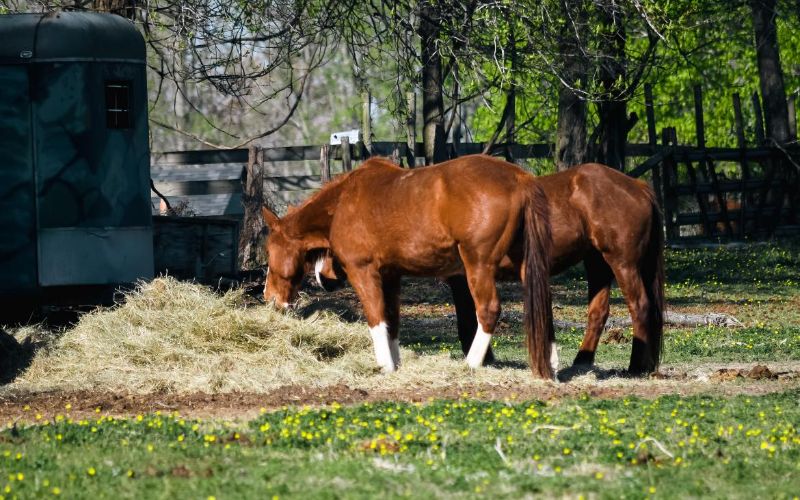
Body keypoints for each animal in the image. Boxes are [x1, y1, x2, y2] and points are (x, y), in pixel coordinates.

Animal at [262, 156, 556, 378]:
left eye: (268, 251)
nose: (269, 297)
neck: (343, 201)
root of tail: (520, 178)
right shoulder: (391, 275)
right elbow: (392, 319)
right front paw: (395, 363)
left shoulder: (364, 273)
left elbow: (376, 317)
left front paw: (384, 366)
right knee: (542, 305)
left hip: (478, 265)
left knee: (488, 310)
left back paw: (470, 364)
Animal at [306, 160, 664, 376]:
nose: (323, 278)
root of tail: (638, 185)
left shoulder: (463, 275)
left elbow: (471, 319)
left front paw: (481, 358)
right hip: (597, 263)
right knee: (598, 312)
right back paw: (582, 363)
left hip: (621, 261)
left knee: (640, 305)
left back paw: (636, 366)